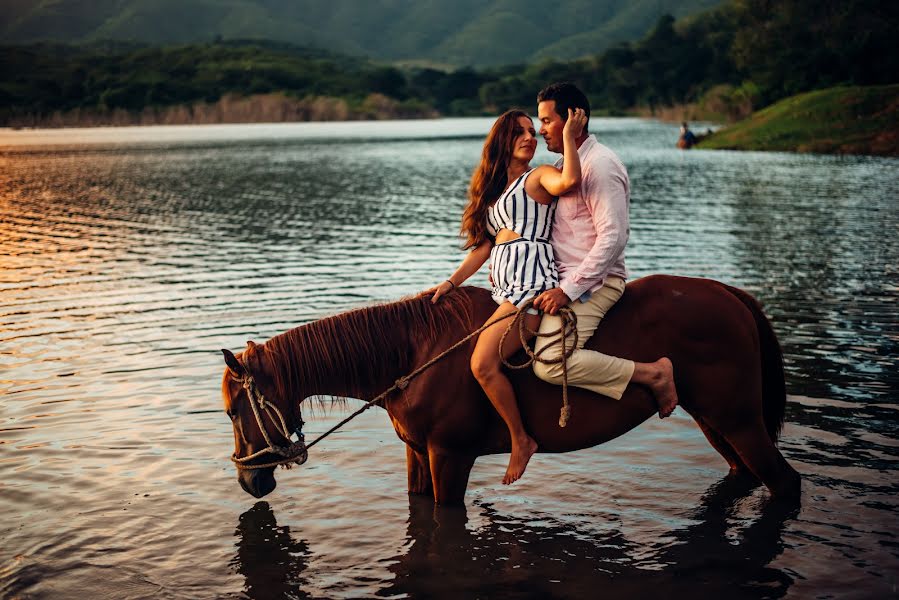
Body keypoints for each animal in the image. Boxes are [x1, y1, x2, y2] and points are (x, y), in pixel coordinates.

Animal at [223, 276, 800, 506]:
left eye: (231, 411)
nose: (249, 480)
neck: (414, 353)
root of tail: (728, 293)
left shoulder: (450, 457)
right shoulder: (418, 456)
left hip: (740, 421)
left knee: (785, 483)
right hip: (717, 421)